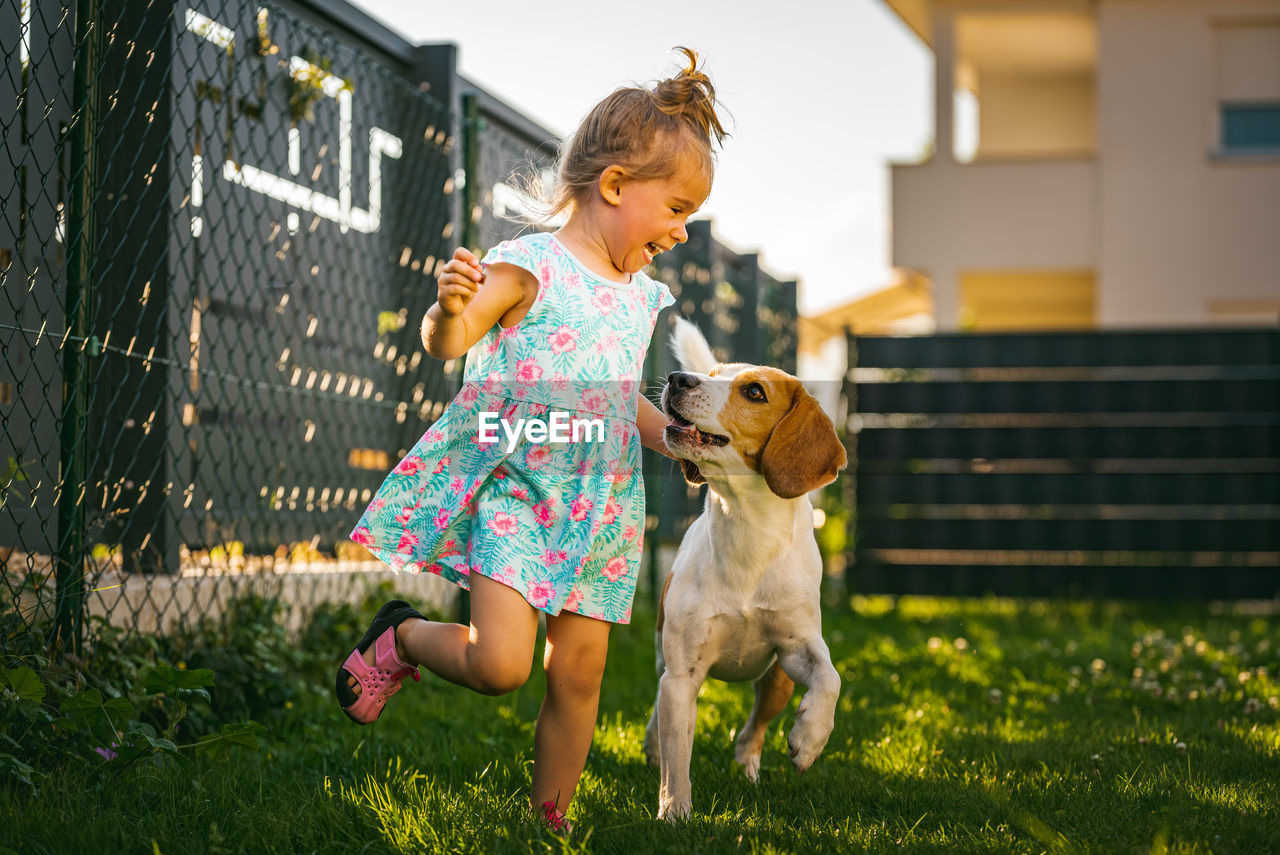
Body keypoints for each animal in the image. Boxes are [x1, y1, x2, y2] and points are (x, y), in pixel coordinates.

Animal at [645, 318, 844, 819]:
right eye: (712, 373)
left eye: (754, 392)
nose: (678, 378)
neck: (747, 532)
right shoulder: (682, 676)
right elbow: (677, 759)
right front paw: (674, 812)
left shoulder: (798, 647)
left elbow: (831, 678)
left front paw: (810, 739)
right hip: (664, 660)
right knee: (661, 709)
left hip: (778, 683)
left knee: (752, 731)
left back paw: (752, 767)